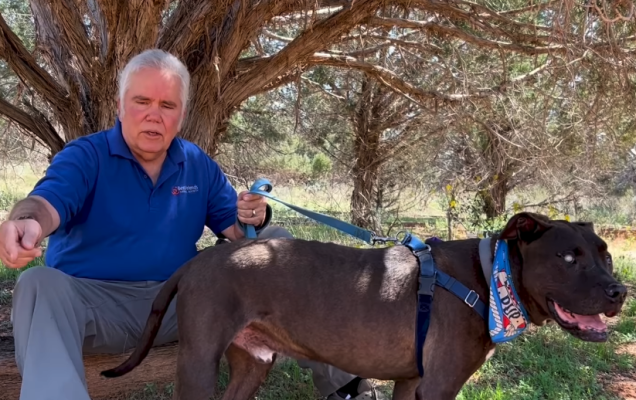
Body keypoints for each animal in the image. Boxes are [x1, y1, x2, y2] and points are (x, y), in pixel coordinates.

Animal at [102, 211, 628, 398]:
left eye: (605, 254)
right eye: (568, 257)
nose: (619, 291)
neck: (488, 278)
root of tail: (194, 262)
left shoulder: (412, 382)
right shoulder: (438, 386)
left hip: (253, 362)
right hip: (197, 361)